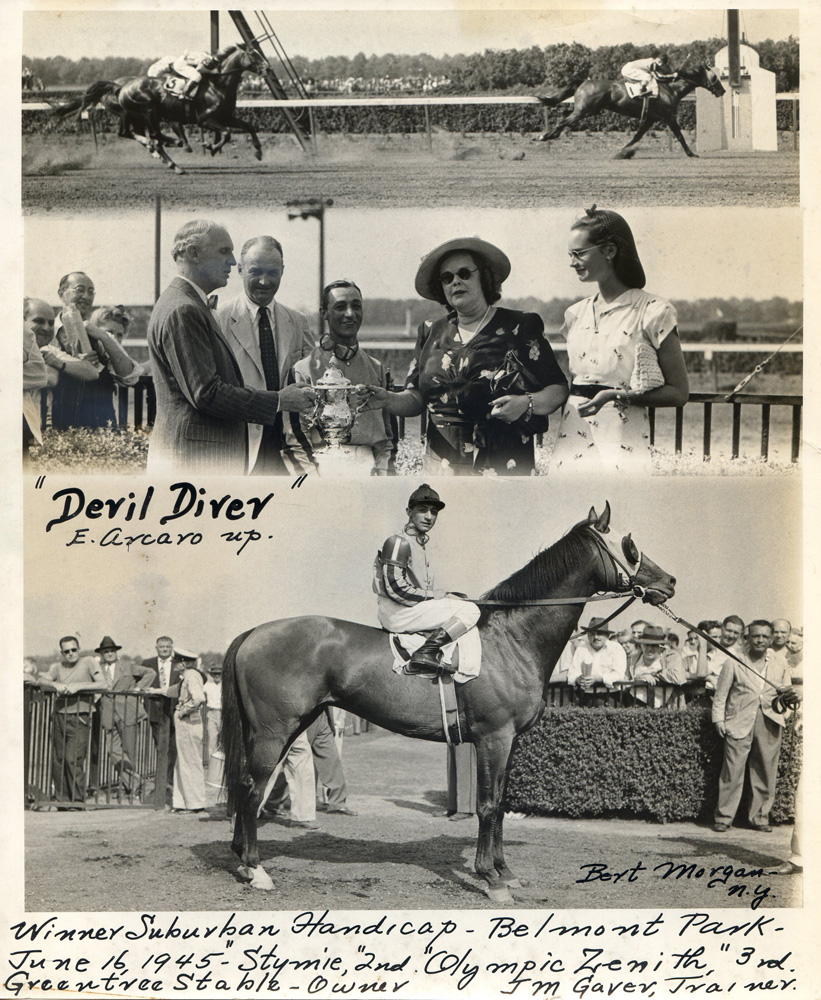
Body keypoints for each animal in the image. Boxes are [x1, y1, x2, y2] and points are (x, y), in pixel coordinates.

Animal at [221, 504, 676, 904]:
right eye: (630, 546)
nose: (669, 581)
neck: (511, 639)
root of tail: (254, 632)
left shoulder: (509, 741)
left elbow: (501, 803)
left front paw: (505, 871)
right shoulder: (494, 738)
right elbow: (488, 805)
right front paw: (491, 879)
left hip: (290, 725)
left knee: (246, 785)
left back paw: (242, 860)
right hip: (274, 730)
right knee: (253, 787)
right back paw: (257, 870)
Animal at [540, 64, 724, 158]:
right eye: (715, 77)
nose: (722, 91)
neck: (671, 89)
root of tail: (583, 82)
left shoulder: (650, 119)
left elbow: (637, 136)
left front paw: (622, 151)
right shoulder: (669, 117)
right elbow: (679, 135)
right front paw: (691, 153)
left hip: (586, 110)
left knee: (564, 119)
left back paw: (548, 135)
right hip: (585, 111)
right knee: (563, 121)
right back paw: (545, 136)